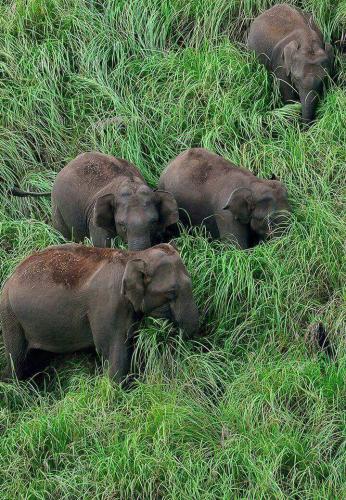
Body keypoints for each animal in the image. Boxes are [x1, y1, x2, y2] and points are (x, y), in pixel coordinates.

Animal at [0, 242, 199, 382]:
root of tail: (9, 277)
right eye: (171, 292)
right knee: (18, 359)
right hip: (10, 315)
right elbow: (110, 348)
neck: (134, 256)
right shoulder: (108, 303)